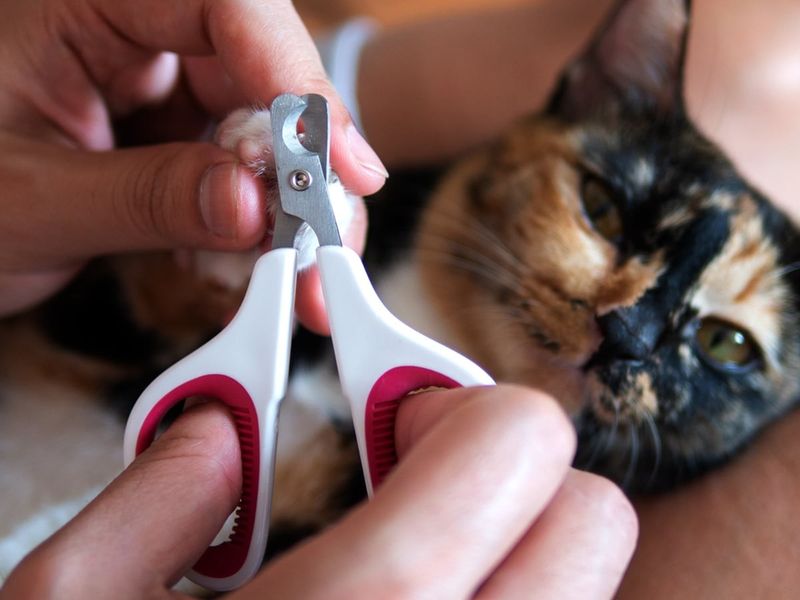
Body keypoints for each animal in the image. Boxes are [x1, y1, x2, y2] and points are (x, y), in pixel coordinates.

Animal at [1, 0, 800, 580]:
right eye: (603, 209)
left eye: (726, 345)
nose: (626, 335)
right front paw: (261, 166)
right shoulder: (94, 310)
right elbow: (146, 281)